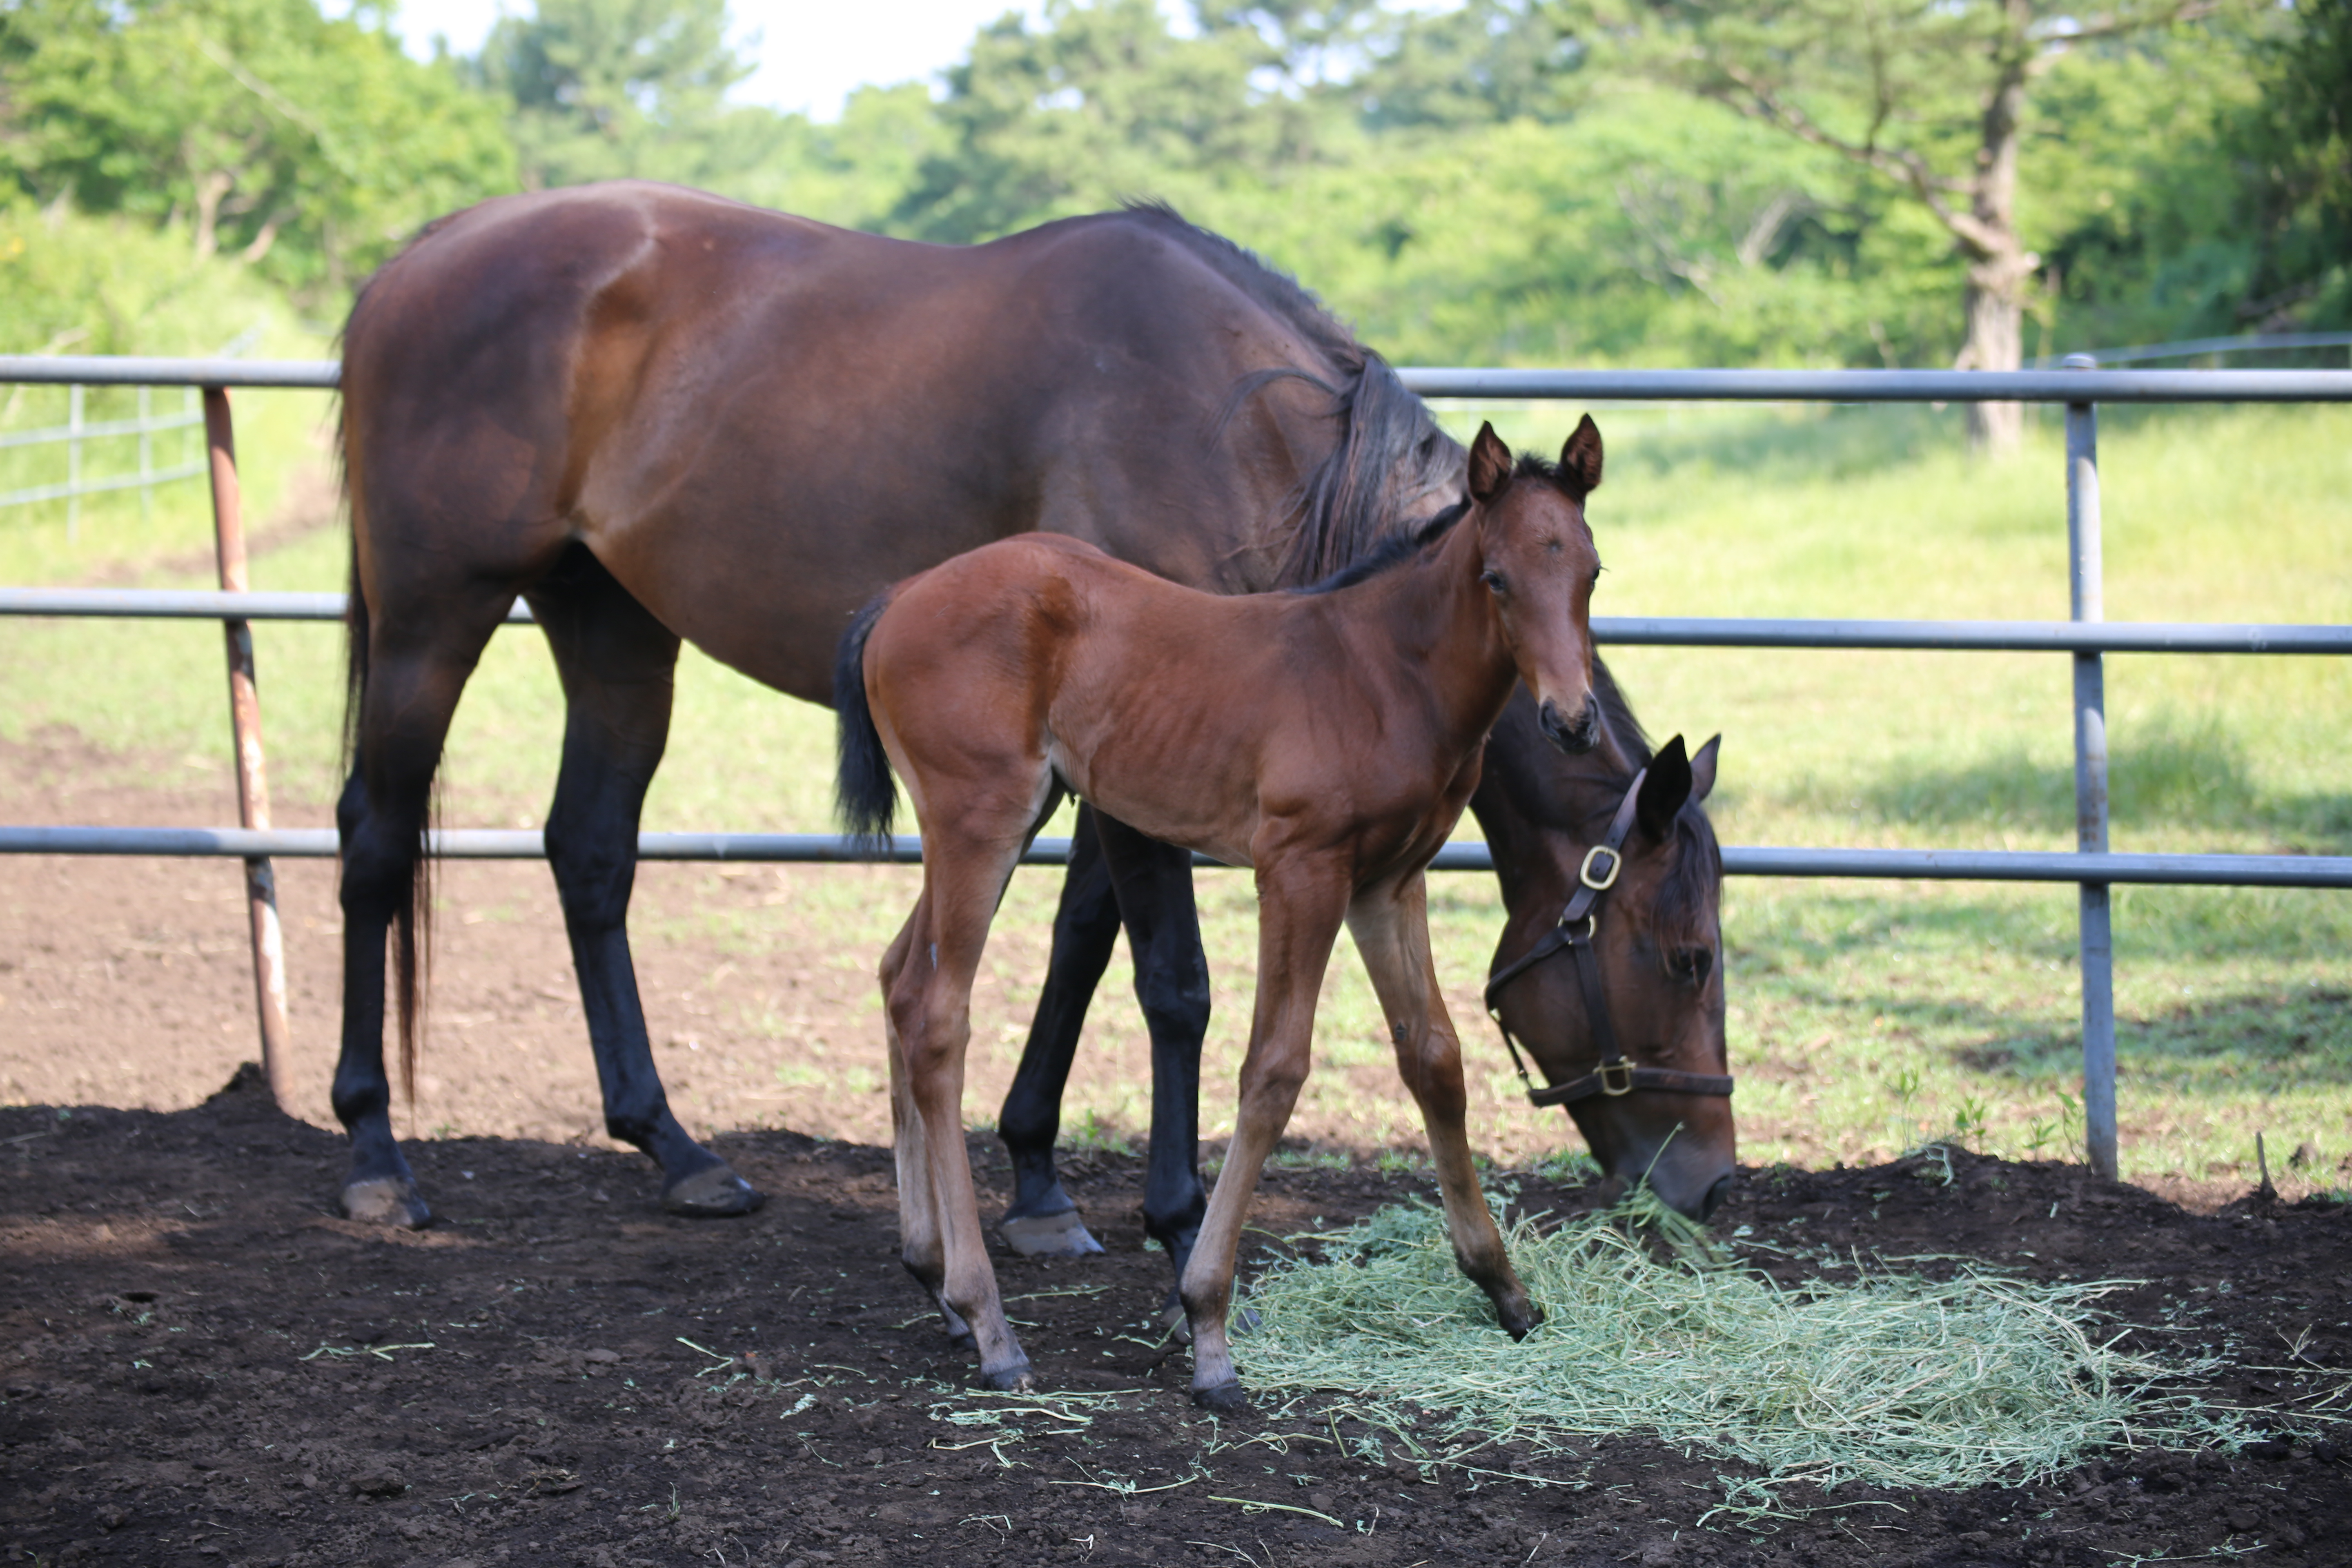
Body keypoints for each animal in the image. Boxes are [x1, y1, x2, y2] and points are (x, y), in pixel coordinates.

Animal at [837, 421, 1608, 1410]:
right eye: (1498, 577)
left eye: (1590, 571)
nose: (1571, 719)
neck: (1383, 672)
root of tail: (897, 599)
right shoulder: (1302, 870)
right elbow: (1273, 1071)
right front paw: (1208, 1331)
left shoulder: (1389, 883)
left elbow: (1434, 1060)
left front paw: (1505, 1290)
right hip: (981, 819)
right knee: (938, 1015)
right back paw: (989, 1324)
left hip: (1001, 820)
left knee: (900, 979)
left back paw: (932, 1278)